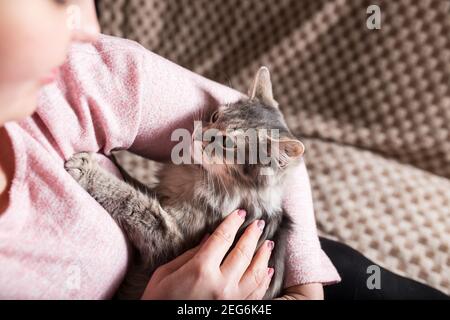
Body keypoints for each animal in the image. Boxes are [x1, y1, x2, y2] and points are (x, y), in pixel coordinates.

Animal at [66, 66, 306, 298]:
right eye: (215, 116)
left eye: (226, 143)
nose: (198, 135)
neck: (196, 173)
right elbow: (132, 183)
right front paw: (112, 163)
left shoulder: (170, 242)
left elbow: (132, 199)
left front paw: (88, 170)